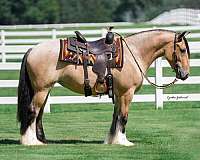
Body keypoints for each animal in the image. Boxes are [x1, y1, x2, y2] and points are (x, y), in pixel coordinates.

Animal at [16, 29, 189, 146]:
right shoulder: (127, 93)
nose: (185, 74)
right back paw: (31, 141)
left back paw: (41, 139)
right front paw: (124, 141)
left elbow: (115, 116)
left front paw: (111, 140)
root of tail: (32, 50)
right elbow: (124, 117)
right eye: (182, 50)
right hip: (42, 90)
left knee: (39, 114)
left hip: (45, 90)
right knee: (33, 111)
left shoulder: (119, 94)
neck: (133, 54)